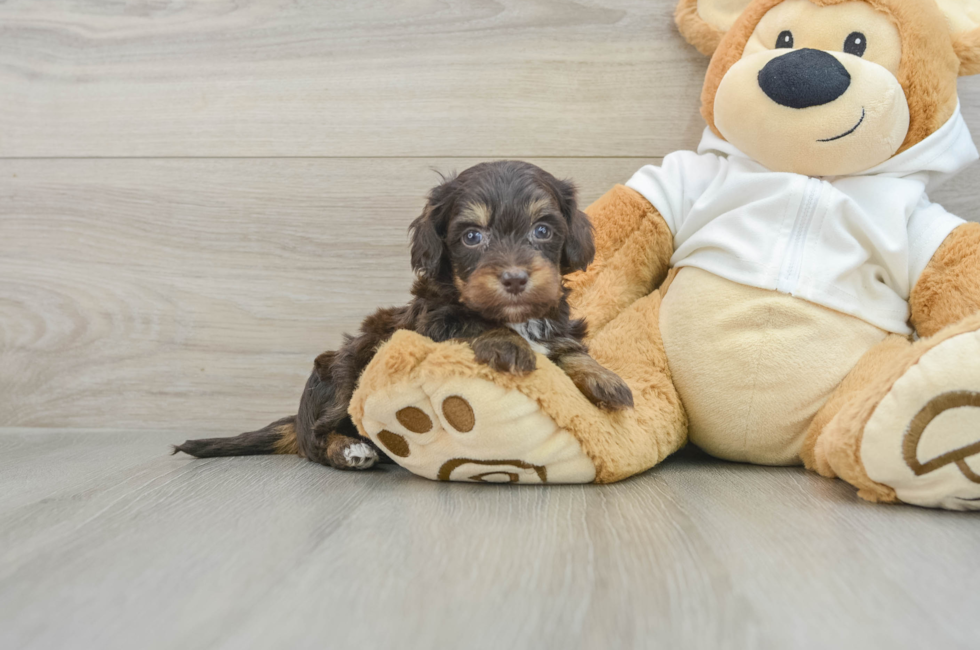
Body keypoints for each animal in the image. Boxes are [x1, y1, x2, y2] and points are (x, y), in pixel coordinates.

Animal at [174, 159, 636, 468]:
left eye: (543, 230)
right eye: (472, 236)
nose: (515, 278)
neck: (515, 315)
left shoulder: (555, 322)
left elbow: (570, 348)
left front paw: (606, 379)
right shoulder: (434, 321)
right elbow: (474, 322)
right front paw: (509, 346)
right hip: (346, 370)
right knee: (317, 440)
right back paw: (350, 450)